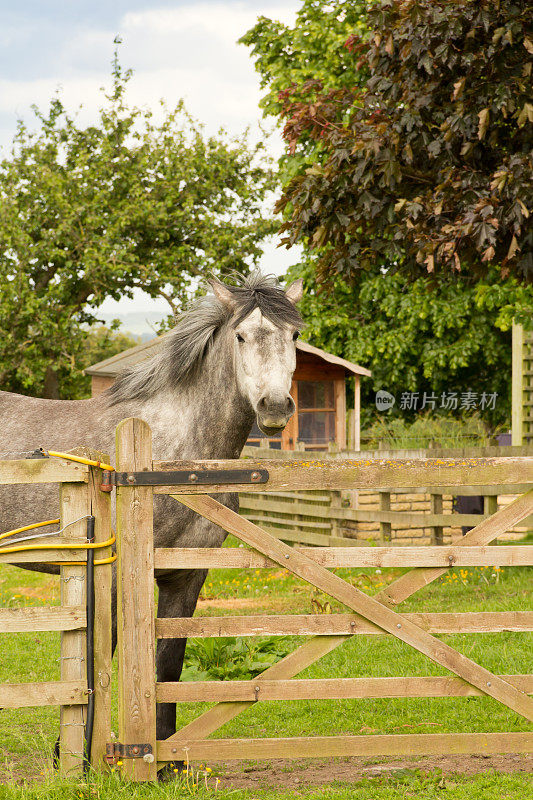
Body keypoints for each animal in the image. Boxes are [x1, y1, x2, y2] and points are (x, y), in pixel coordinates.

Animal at [0, 274, 302, 752]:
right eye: (241, 336)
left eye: (294, 336)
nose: (274, 408)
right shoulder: (111, 575)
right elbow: (99, 660)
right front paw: (80, 756)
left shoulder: (187, 576)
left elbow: (168, 665)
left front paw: (167, 755)